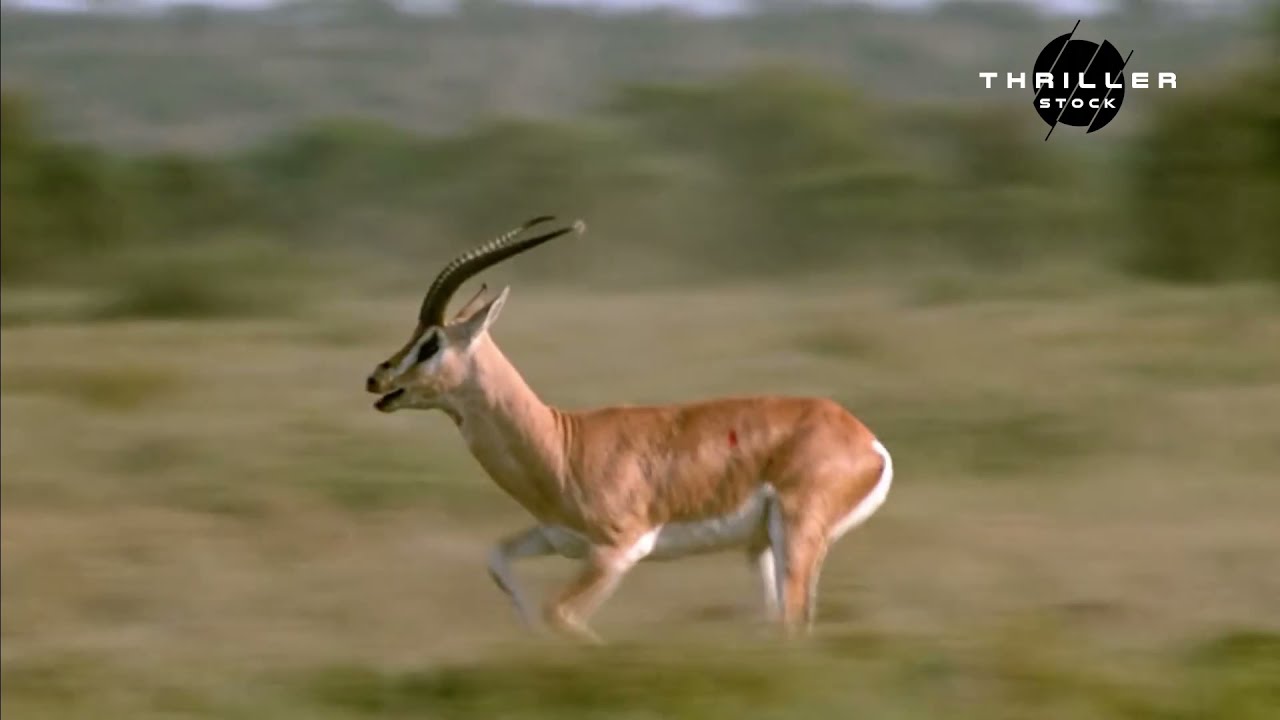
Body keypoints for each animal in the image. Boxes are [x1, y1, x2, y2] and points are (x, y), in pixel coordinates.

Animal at [365, 216, 893, 643]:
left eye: (432, 343)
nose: (377, 378)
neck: (561, 446)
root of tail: (867, 441)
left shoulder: (618, 550)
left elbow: (561, 615)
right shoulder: (558, 539)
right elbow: (498, 560)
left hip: (797, 535)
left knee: (792, 620)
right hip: (760, 547)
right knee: (779, 620)